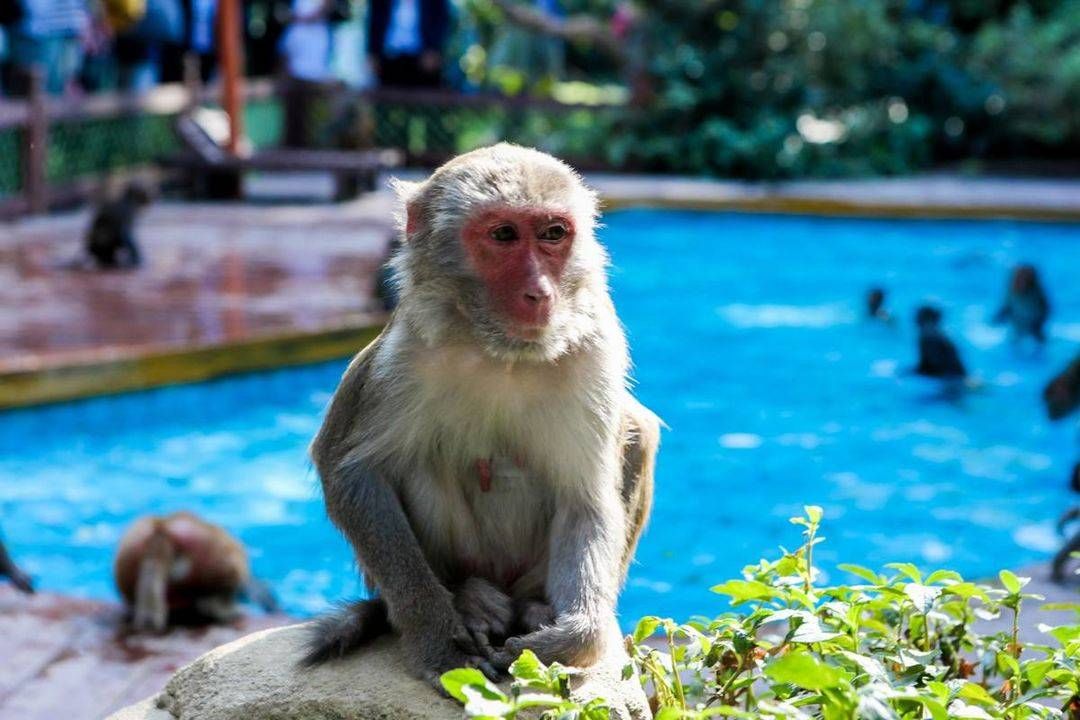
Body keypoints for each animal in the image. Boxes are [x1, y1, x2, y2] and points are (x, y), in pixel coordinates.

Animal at [300, 143, 660, 690]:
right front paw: (440, 639)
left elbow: (585, 496)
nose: (540, 293)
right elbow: (352, 471)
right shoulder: (404, 353)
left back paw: (533, 609)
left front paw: (574, 637)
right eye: (504, 235)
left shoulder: (596, 345)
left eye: (553, 234)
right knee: (416, 462)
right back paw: (469, 599)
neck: (502, 351)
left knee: (637, 433)